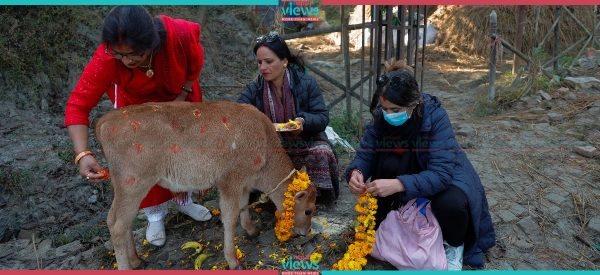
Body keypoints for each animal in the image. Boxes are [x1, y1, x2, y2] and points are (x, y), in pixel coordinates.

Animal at [95, 101, 316, 270]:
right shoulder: (229, 181)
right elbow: (230, 218)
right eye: (309, 210)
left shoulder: (243, 183)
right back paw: (126, 265)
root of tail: (103, 122)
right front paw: (233, 261)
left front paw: (252, 230)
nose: (306, 232)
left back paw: (135, 260)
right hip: (133, 183)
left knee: (122, 220)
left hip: (124, 187)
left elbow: (244, 206)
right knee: (116, 223)